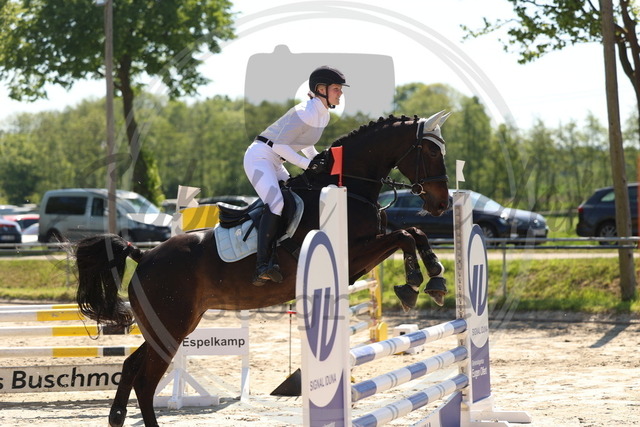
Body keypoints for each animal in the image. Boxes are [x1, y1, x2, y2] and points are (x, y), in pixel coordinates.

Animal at [75, 111, 451, 426]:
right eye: (432, 153)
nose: (442, 204)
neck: (348, 188)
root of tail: (144, 257)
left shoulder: (359, 259)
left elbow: (413, 233)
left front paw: (434, 277)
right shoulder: (355, 254)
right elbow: (403, 236)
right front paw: (413, 284)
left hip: (171, 325)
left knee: (131, 366)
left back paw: (116, 417)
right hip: (171, 325)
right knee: (145, 380)